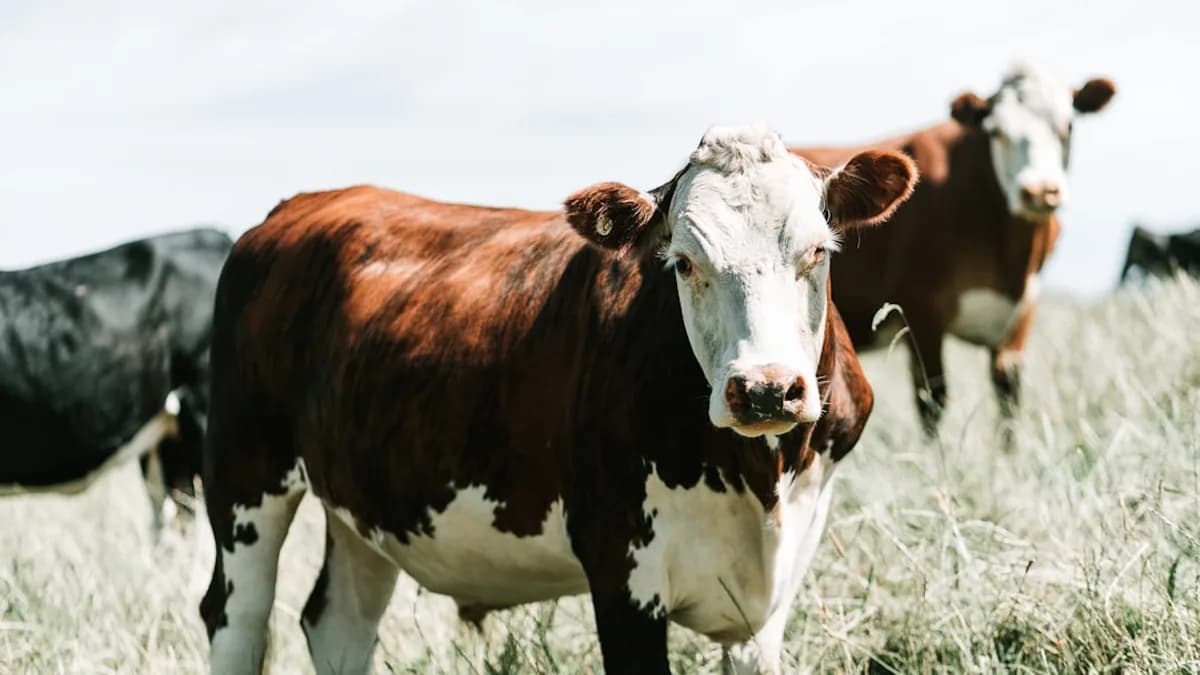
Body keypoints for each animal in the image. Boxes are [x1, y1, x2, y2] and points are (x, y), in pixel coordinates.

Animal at [198, 126, 917, 675]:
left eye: (817, 251)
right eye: (684, 261)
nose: (765, 388)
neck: (757, 475)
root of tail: (297, 207)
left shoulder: (768, 601)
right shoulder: (622, 576)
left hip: (361, 503)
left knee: (338, 623)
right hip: (243, 475)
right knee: (237, 617)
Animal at [792, 63, 1115, 435]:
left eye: (1068, 126)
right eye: (997, 132)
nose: (1039, 191)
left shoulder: (1019, 319)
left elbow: (1008, 399)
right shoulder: (920, 314)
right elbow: (932, 402)